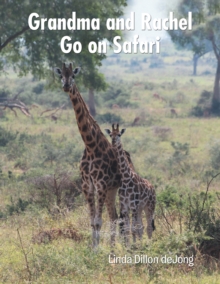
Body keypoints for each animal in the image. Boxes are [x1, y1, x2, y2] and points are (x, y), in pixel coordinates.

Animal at [54, 63, 133, 247]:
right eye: (61, 75)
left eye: (73, 76)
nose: (66, 86)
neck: (90, 146)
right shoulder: (87, 185)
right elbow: (92, 221)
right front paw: (92, 250)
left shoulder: (101, 184)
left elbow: (98, 221)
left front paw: (96, 251)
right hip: (112, 190)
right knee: (114, 216)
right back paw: (113, 248)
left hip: (120, 190)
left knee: (125, 217)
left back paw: (127, 246)